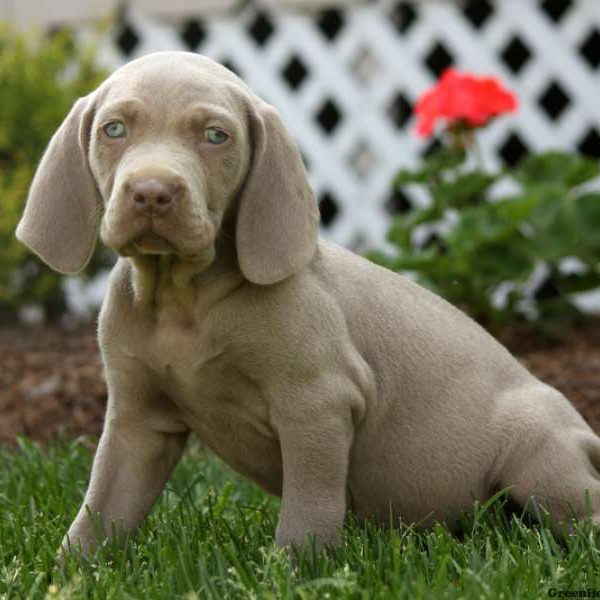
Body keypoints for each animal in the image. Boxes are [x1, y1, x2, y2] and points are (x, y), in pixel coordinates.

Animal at [16, 50, 600, 552]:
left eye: (215, 136)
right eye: (113, 129)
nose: (152, 193)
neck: (184, 300)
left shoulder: (318, 403)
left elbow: (308, 509)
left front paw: (293, 571)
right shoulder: (138, 420)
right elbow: (101, 509)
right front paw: (72, 572)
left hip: (541, 458)